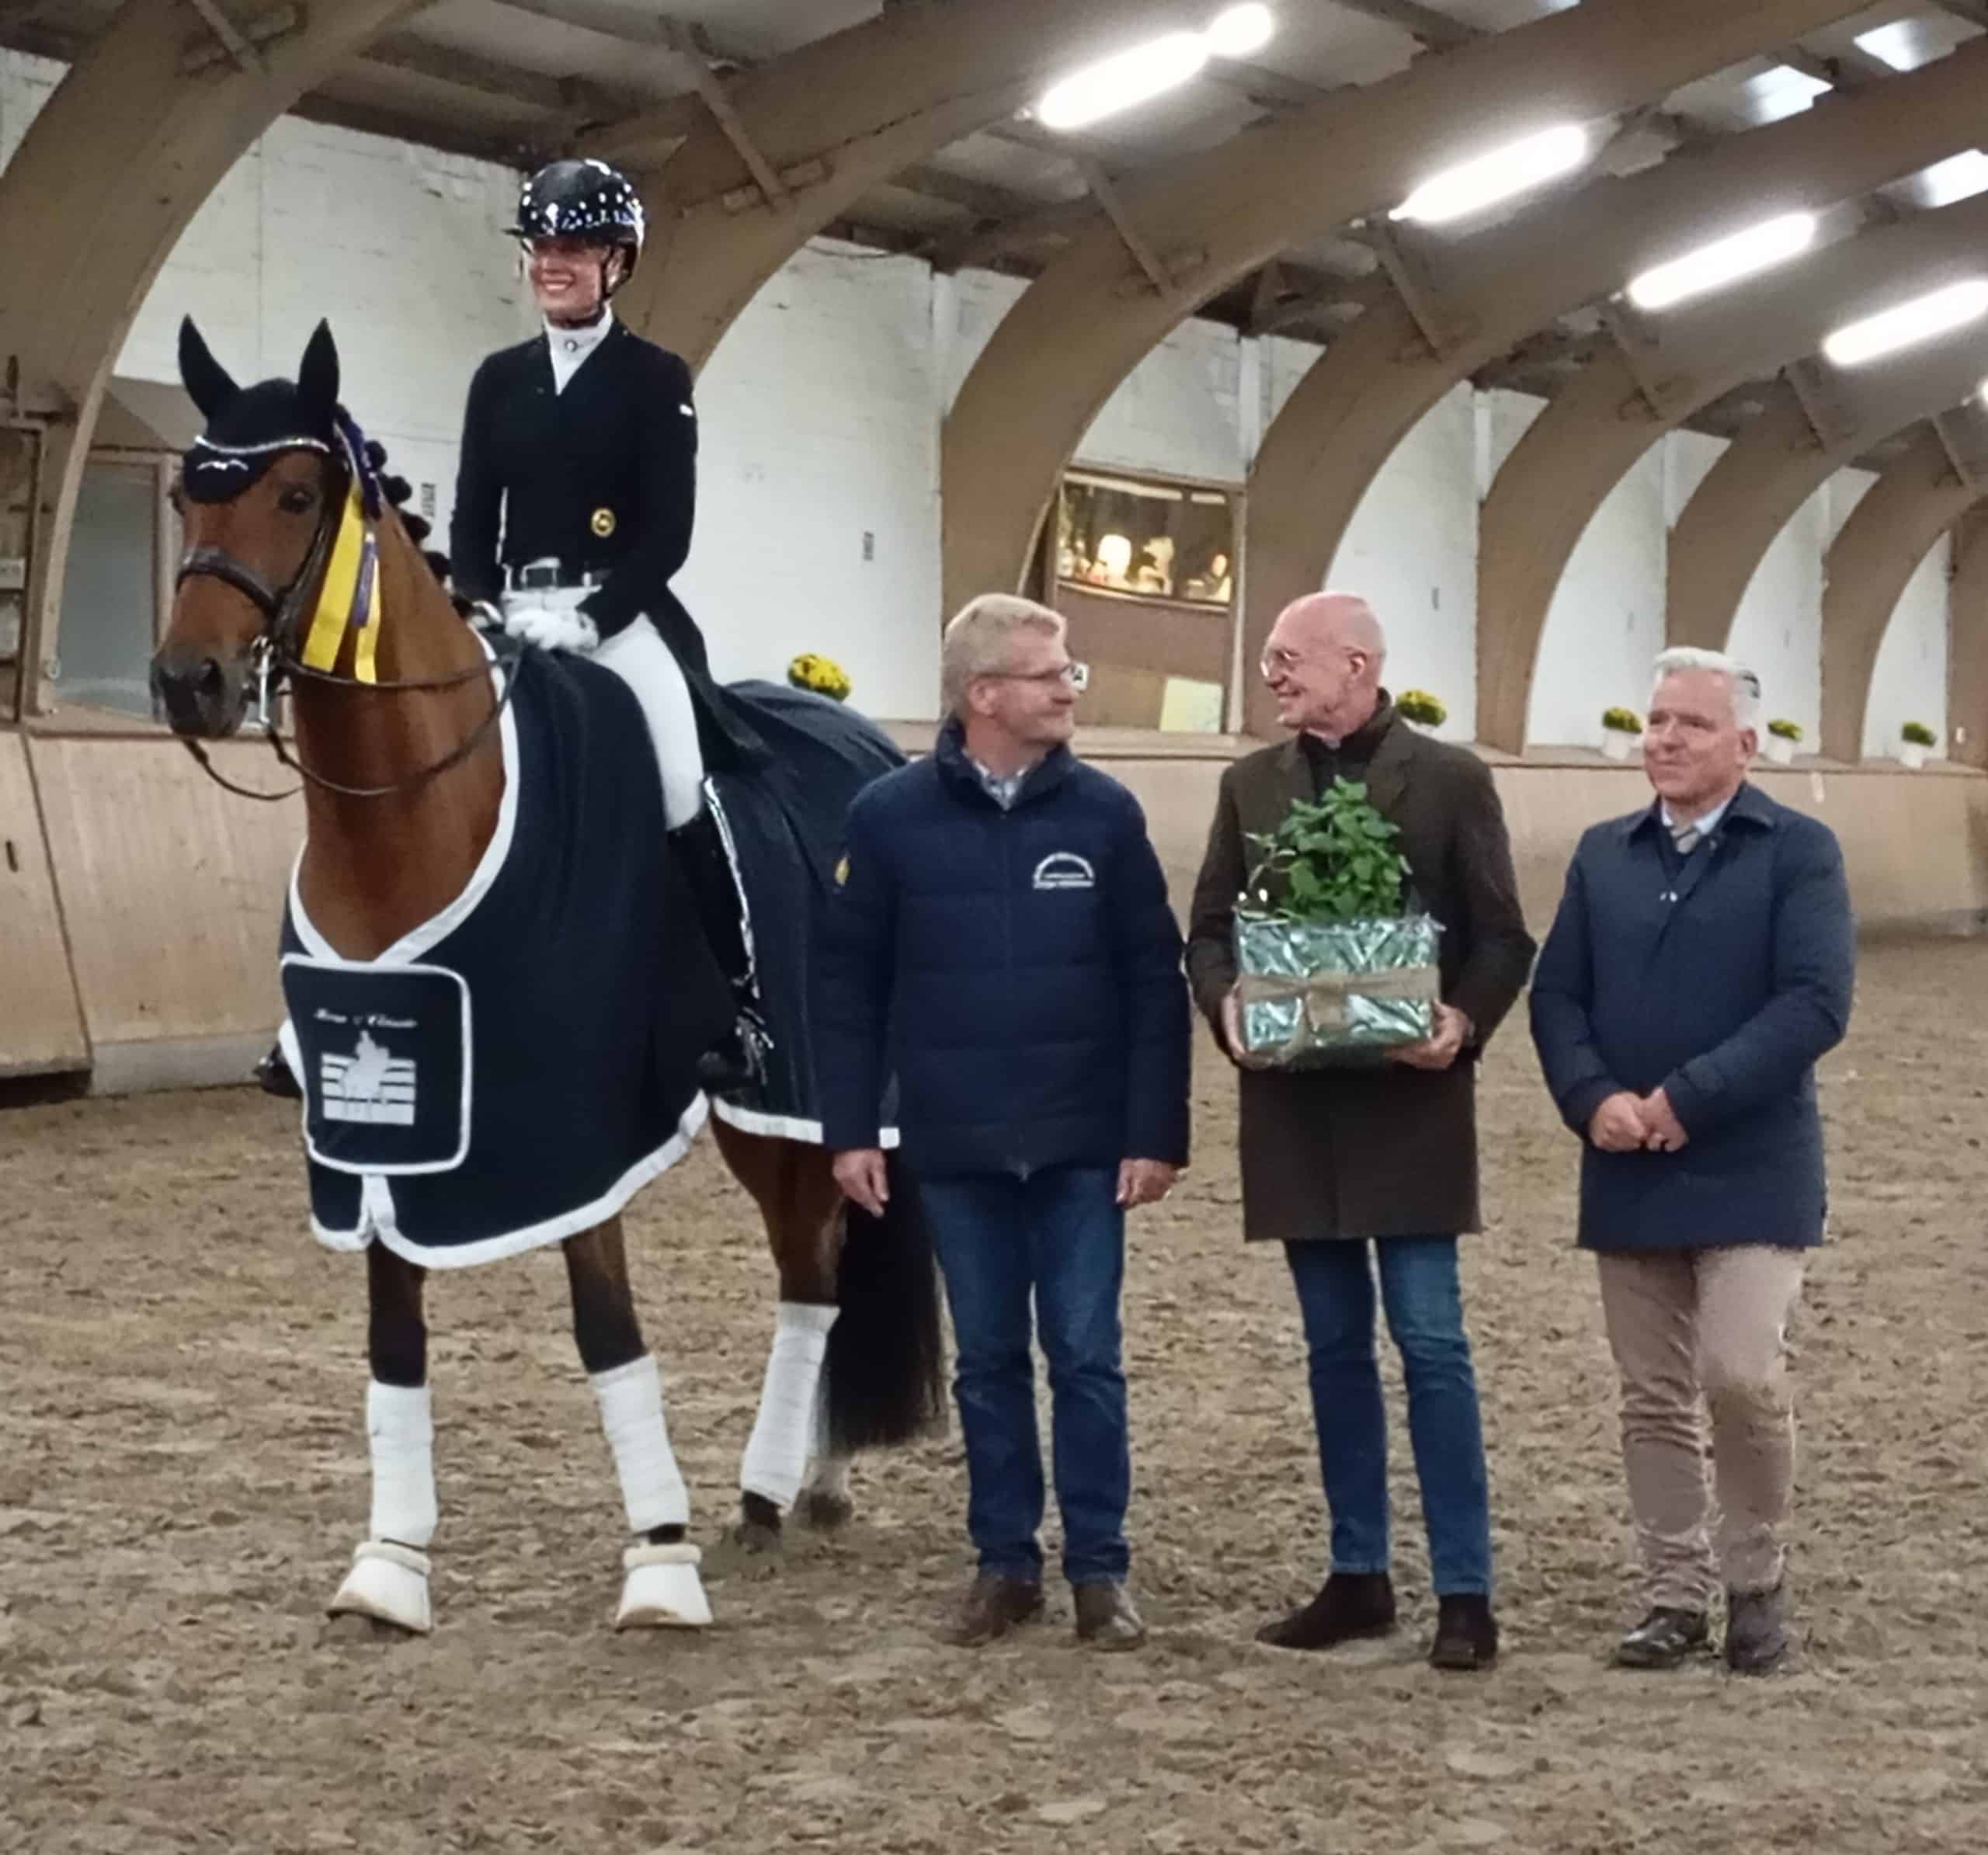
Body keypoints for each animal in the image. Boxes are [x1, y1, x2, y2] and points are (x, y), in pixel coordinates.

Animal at [151, 318, 942, 1638]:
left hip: (793, 1097)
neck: (415, 820)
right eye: (186, 492)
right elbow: (394, 1340)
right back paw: (805, 1484)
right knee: (818, 1260)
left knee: (814, 1267)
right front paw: (389, 1566)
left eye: (298, 495)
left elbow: (608, 1330)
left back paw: (773, 1492)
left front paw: (660, 1566)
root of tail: (870, 739)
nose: (187, 683)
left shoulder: (578, 1124)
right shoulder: (390, 1136)